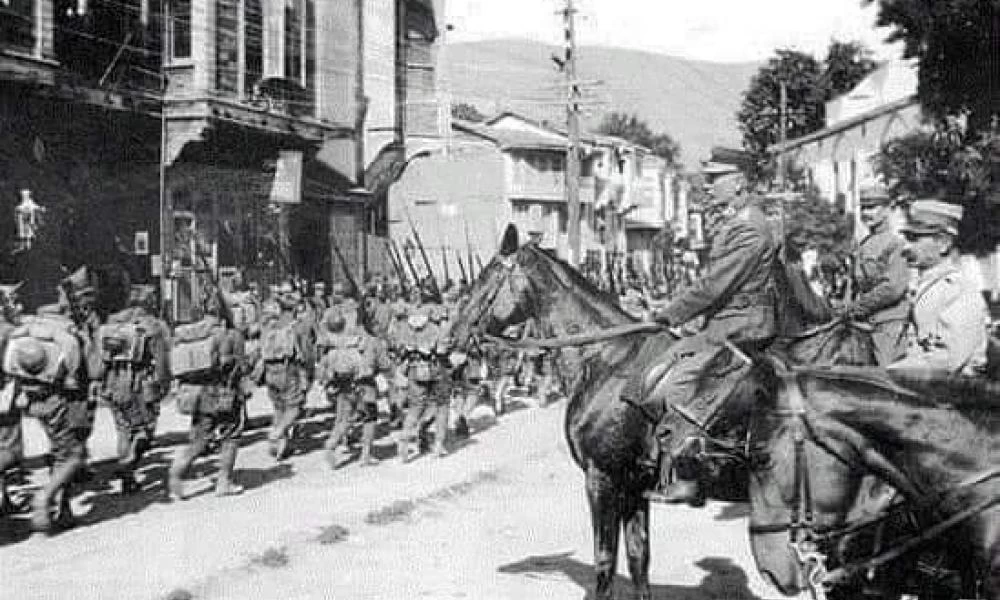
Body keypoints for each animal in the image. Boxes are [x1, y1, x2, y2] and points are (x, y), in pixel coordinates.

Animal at [450, 227, 872, 596]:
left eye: (487, 279)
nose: (452, 337)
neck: (607, 359)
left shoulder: (602, 479)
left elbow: (605, 561)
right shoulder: (634, 484)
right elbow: (639, 558)